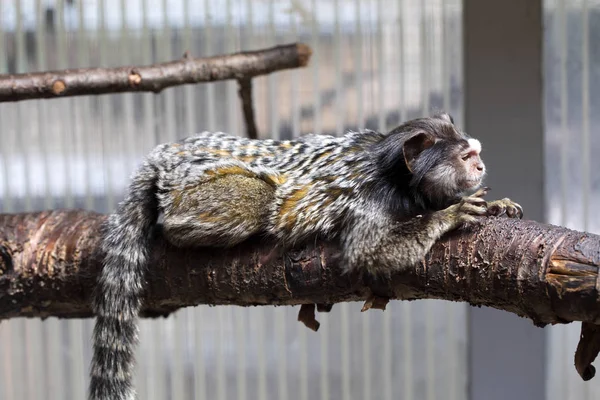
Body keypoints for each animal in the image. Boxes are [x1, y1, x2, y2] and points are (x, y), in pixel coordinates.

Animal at [88, 113, 520, 400]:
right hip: (193, 190)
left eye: (476, 154)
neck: (394, 175)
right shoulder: (372, 199)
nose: (481, 165)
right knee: (257, 199)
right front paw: (448, 216)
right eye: (465, 158)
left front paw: (496, 204)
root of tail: (167, 155)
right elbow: (367, 252)